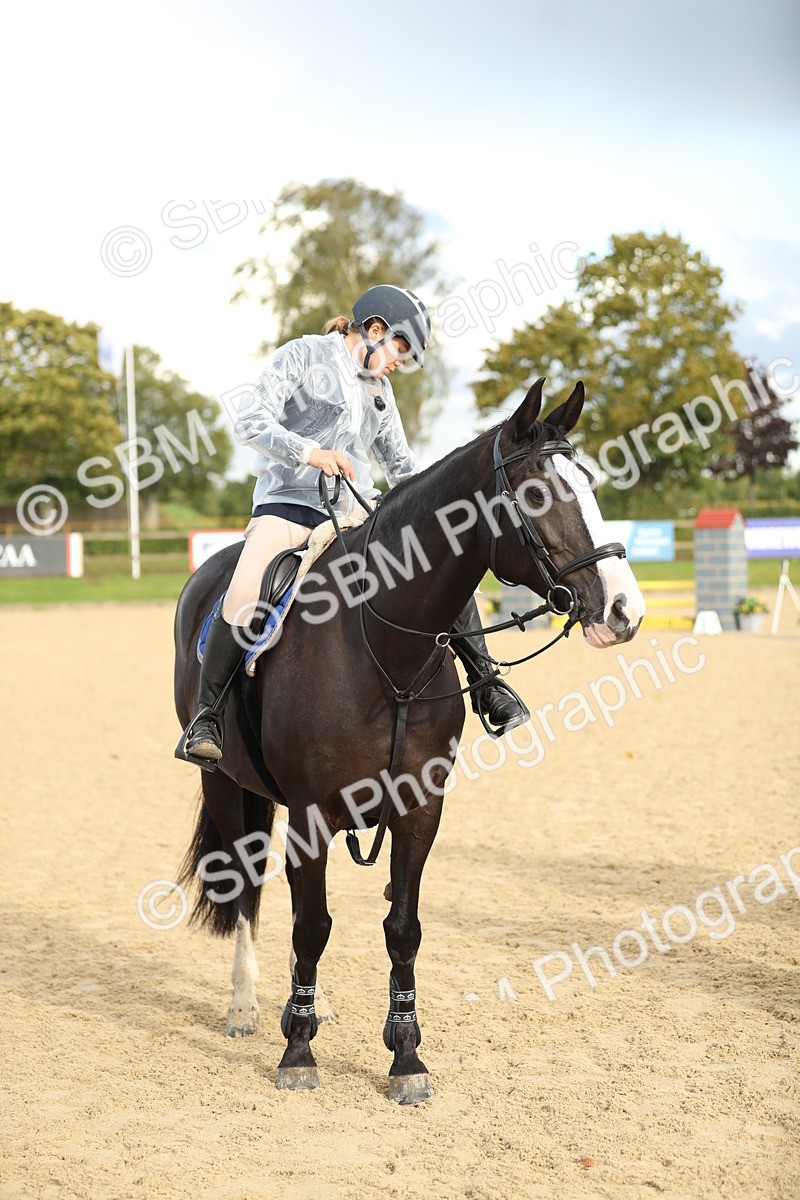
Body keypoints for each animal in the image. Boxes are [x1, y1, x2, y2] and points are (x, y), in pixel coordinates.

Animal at [173, 378, 645, 1104]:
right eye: (540, 494)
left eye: (590, 483)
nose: (625, 610)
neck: (379, 646)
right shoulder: (310, 813)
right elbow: (312, 924)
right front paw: (298, 1050)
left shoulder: (421, 807)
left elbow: (402, 928)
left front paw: (405, 1055)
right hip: (223, 784)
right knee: (247, 889)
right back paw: (246, 1006)